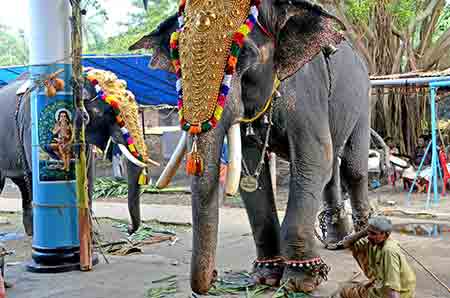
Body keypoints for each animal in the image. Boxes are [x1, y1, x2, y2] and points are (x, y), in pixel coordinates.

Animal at [0, 68, 154, 236]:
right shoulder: (31, 126)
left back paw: (30, 232)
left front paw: (90, 236)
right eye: (110, 112)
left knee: (22, 183)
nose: (128, 229)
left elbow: (88, 175)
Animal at [132, 0, 370, 294]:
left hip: (363, 98)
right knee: (332, 169)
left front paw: (300, 281)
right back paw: (338, 241)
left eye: (242, 54)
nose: (214, 276)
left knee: (351, 167)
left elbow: (313, 160)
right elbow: (252, 173)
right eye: (177, 59)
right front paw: (265, 277)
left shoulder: (306, 88)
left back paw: (363, 239)